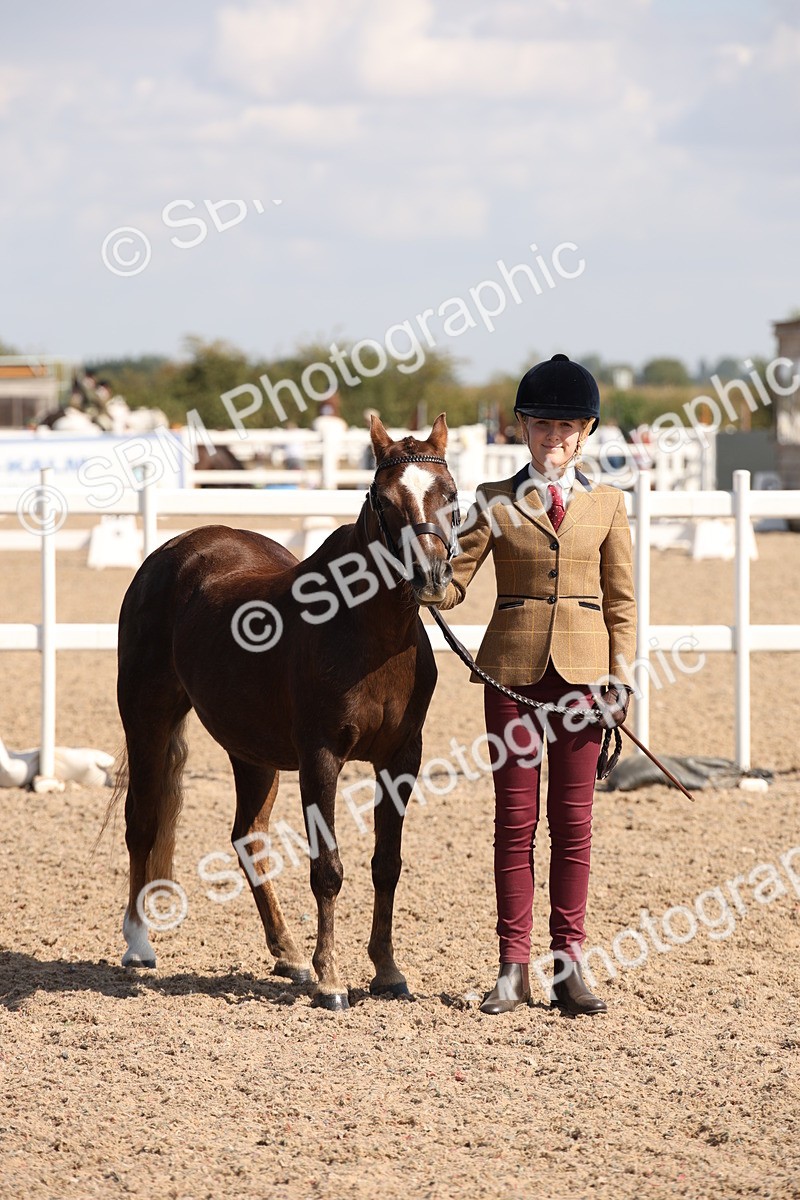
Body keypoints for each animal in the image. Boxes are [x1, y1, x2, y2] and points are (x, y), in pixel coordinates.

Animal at [114, 414, 458, 1009]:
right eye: (385, 500)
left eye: (451, 494)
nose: (432, 577)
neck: (367, 632)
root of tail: (173, 551)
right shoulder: (321, 757)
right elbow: (328, 868)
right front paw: (332, 979)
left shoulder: (401, 759)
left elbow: (386, 865)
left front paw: (386, 970)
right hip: (146, 718)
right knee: (144, 821)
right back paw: (139, 946)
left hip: (252, 750)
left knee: (248, 837)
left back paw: (289, 955)